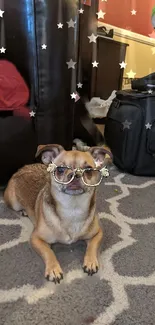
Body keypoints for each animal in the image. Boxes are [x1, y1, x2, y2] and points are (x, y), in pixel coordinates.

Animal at [3, 143, 111, 282]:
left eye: (88, 170)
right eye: (60, 169)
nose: (75, 174)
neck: (72, 209)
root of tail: (21, 168)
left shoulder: (98, 233)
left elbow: (92, 245)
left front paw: (91, 261)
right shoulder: (36, 239)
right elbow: (48, 252)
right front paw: (53, 269)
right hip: (13, 202)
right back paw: (23, 211)